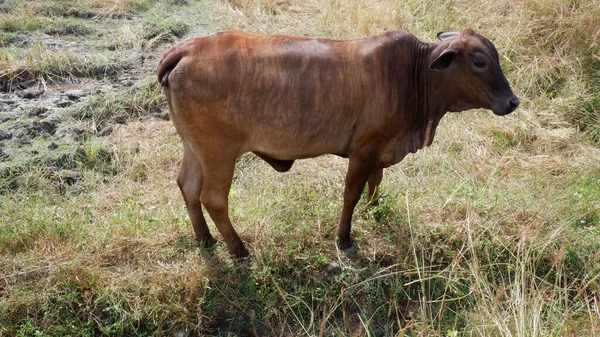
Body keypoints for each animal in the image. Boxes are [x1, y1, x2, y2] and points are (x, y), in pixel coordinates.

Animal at [157, 27, 516, 258]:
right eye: (480, 62)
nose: (512, 102)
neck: (415, 74)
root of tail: (187, 48)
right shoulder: (364, 150)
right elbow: (351, 193)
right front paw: (344, 238)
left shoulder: (379, 149)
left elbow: (376, 181)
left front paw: (375, 208)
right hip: (219, 153)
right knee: (214, 198)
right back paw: (238, 248)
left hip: (194, 148)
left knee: (187, 186)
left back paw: (204, 239)